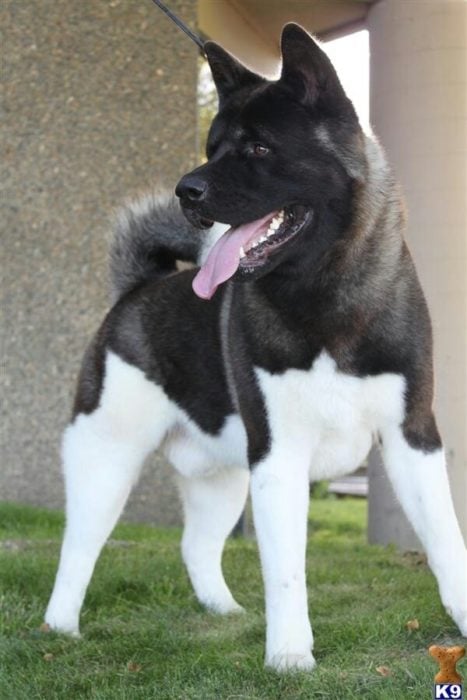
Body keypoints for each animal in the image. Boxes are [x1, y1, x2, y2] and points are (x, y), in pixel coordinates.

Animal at [44, 23, 467, 672]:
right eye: (214, 146)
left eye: (259, 149)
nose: (186, 190)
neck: (325, 293)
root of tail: (138, 289)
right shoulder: (280, 457)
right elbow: (286, 570)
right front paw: (290, 656)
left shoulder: (412, 439)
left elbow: (447, 541)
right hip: (106, 458)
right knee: (78, 548)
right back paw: (60, 627)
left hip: (221, 474)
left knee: (195, 546)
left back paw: (225, 613)